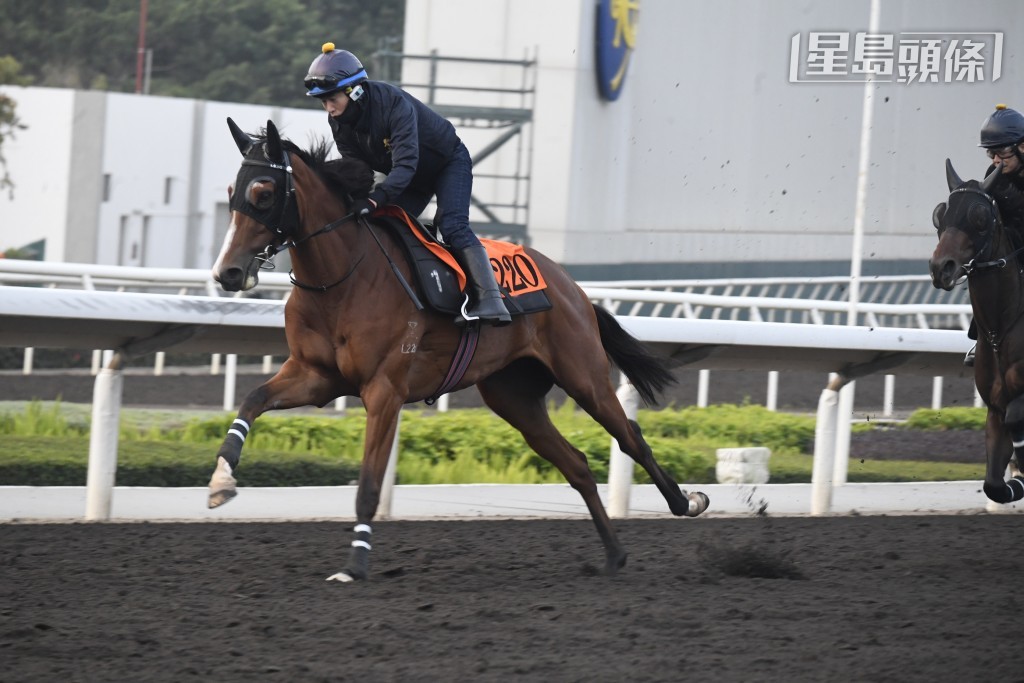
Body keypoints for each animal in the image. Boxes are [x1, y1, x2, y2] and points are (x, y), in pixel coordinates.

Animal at [208, 118, 709, 581]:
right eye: (232, 191)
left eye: (264, 193)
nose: (227, 273)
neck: (342, 278)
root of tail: (573, 286)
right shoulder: (316, 376)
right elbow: (252, 400)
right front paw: (221, 481)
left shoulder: (384, 390)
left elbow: (369, 484)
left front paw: (355, 565)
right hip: (513, 397)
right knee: (578, 465)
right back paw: (614, 554)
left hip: (583, 375)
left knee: (631, 438)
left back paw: (687, 502)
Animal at [929, 158, 1024, 505]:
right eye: (940, 213)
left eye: (980, 216)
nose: (941, 267)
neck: (1000, 332)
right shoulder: (995, 408)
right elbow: (994, 485)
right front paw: (1016, 479)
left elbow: (1017, 417)